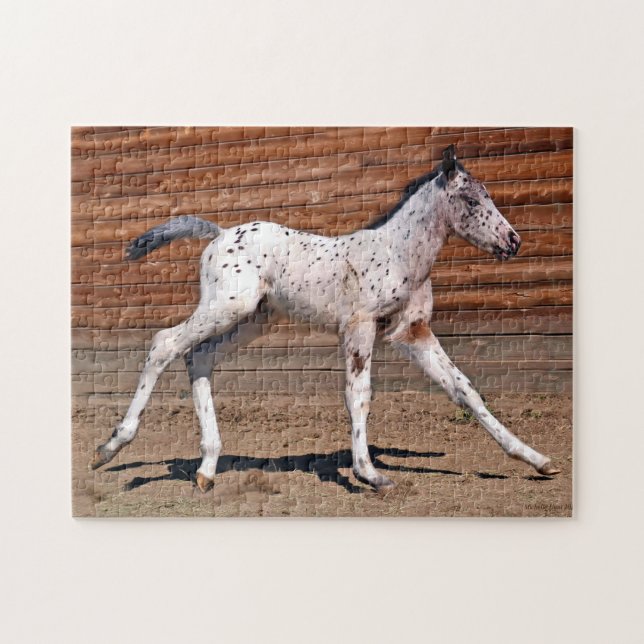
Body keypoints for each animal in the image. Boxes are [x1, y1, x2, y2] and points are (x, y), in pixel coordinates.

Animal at [91, 144, 560, 492]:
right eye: (471, 199)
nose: (513, 241)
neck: (398, 254)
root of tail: (219, 233)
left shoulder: (414, 333)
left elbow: (465, 390)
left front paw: (537, 460)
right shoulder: (359, 328)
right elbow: (359, 395)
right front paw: (370, 474)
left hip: (253, 319)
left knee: (199, 357)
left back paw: (207, 468)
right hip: (227, 307)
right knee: (165, 343)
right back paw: (112, 446)